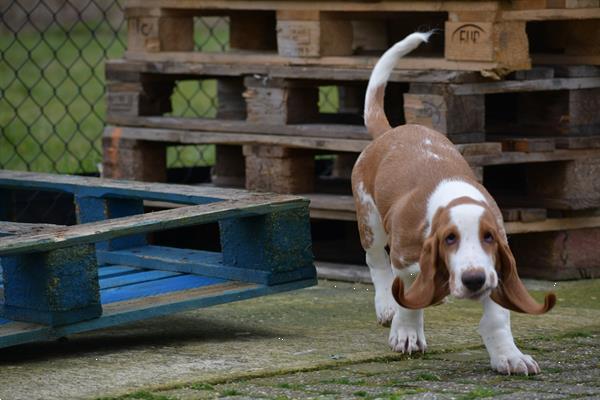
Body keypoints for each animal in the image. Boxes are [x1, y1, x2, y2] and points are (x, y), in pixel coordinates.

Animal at [352, 31, 556, 376]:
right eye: (449, 239)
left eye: (488, 237)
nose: (473, 280)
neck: (453, 197)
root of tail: (389, 133)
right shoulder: (406, 258)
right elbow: (407, 295)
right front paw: (406, 335)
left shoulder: (495, 266)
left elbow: (497, 317)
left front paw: (509, 356)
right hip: (370, 220)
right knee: (377, 261)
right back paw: (386, 307)